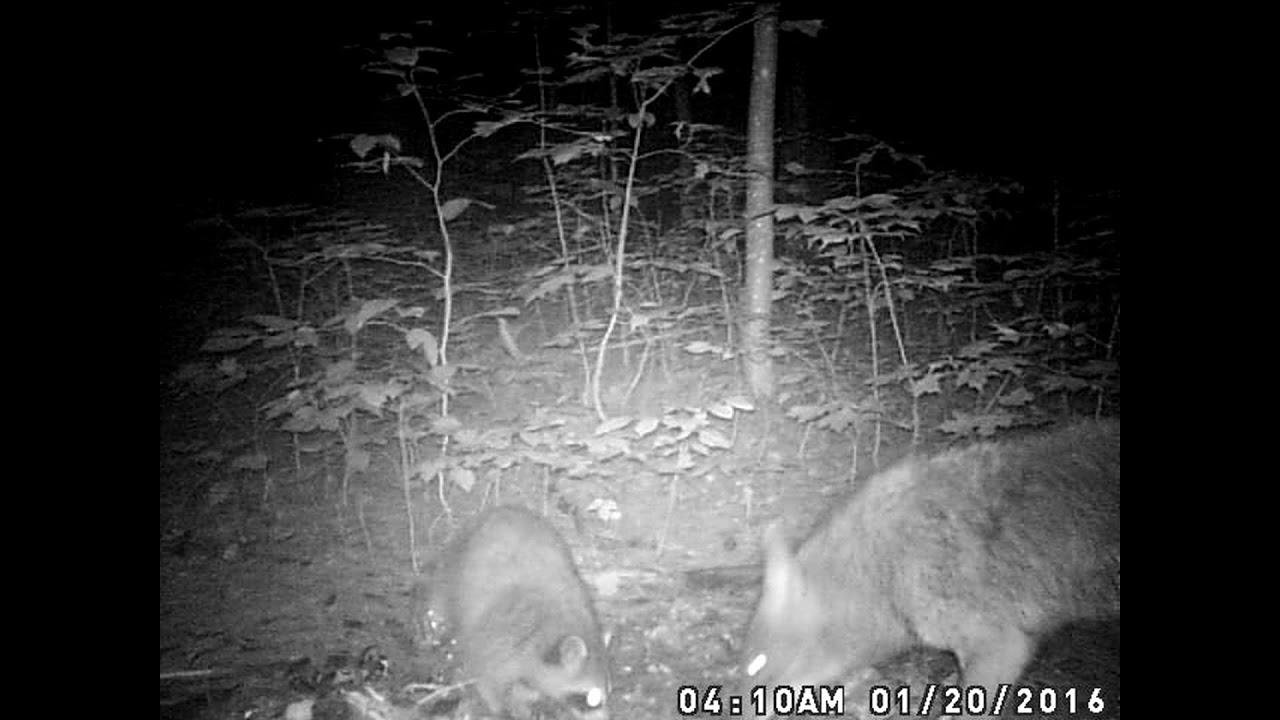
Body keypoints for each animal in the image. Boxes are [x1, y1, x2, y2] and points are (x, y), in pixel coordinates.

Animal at [427, 506, 611, 719]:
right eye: (588, 699)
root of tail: (503, 508)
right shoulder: (494, 642)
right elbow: (485, 678)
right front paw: (502, 707)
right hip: (454, 562)